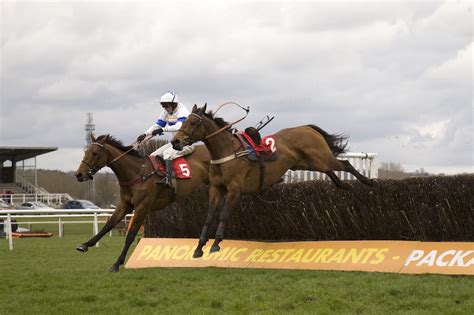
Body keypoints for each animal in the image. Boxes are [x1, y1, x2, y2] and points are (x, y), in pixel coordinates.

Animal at [74, 135, 209, 272]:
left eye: (95, 153)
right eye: (85, 152)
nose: (79, 174)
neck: (137, 173)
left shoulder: (142, 208)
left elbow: (130, 235)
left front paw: (117, 263)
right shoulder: (124, 205)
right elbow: (107, 226)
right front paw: (85, 245)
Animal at [171, 105, 378, 258]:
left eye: (193, 122)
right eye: (184, 121)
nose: (175, 142)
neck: (226, 151)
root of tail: (308, 128)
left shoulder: (235, 189)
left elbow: (223, 215)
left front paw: (216, 244)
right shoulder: (216, 188)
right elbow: (208, 217)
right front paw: (199, 247)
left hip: (320, 158)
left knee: (345, 164)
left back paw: (369, 182)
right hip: (306, 163)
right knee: (330, 171)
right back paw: (343, 185)